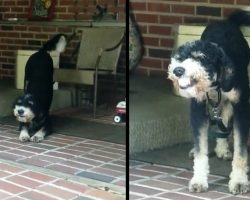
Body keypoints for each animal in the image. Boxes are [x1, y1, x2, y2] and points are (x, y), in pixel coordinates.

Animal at [168, 10, 250, 195]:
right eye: (180, 58)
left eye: (201, 58)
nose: (178, 70)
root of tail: (226, 21)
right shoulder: (197, 109)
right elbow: (201, 148)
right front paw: (199, 180)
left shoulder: (241, 109)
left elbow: (241, 151)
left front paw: (239, 181)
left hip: (227, 103)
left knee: (224, 119)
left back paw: (222, 149)